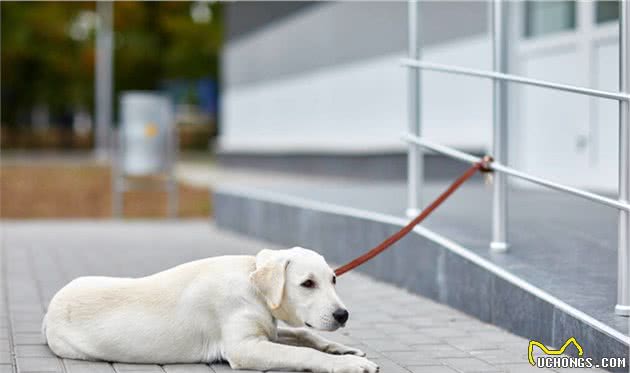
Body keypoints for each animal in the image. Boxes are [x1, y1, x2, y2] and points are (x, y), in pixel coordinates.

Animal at [45, 246, 380, 370]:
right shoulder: (244, 348)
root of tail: (49, 308)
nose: (343, 315)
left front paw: (342, 350)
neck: (252, 284)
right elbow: (301, 353)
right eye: (307, 283)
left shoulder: (268, 333)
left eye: (333, 280)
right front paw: (350, 364)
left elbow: (304, 335)